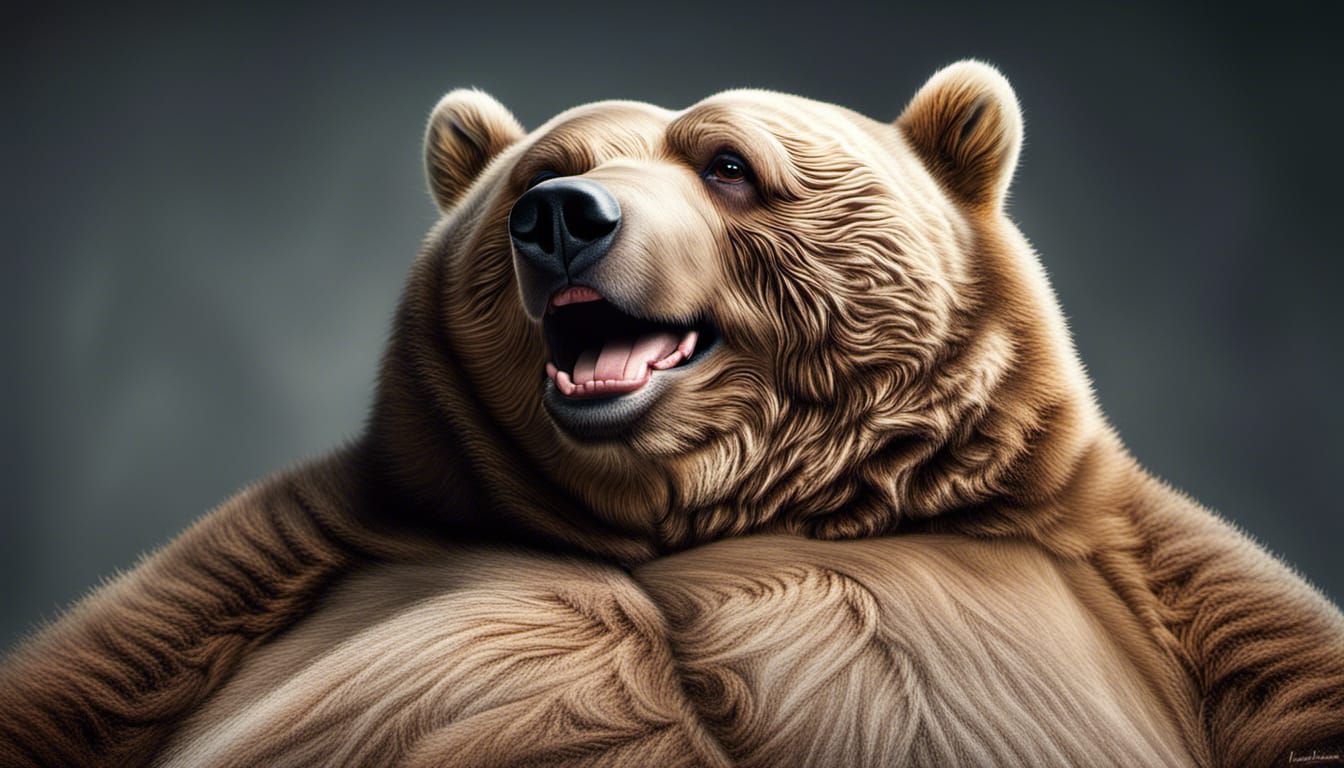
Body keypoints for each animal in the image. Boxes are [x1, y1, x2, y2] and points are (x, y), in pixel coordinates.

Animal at [2, 61, 1342, 767]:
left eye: (730, 165)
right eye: (543, 171)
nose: (562, 221)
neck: (685, 516)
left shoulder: (1112, 547)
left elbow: (1287, 659)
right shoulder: (314, 547)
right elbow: (87, 675)